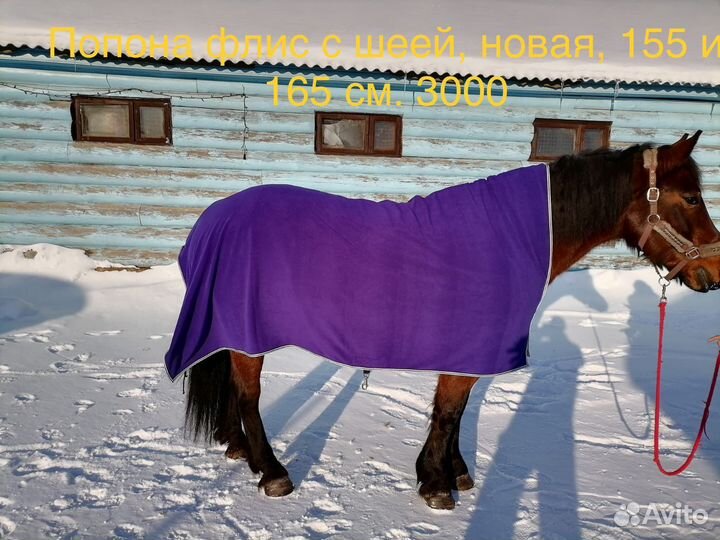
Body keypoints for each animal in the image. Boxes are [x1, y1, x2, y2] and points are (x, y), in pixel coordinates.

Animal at [171, 131, 720, 510]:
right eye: (692, 197)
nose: (713, 273)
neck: (516, 238)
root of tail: (215, 216)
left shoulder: (471, 353)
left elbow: (456, 412)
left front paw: (454, 473)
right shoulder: (467, 350)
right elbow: (449, 413)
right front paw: (436, 484)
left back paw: (239, 451)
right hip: (248, 336)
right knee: (250, 398)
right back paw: (272, 472)